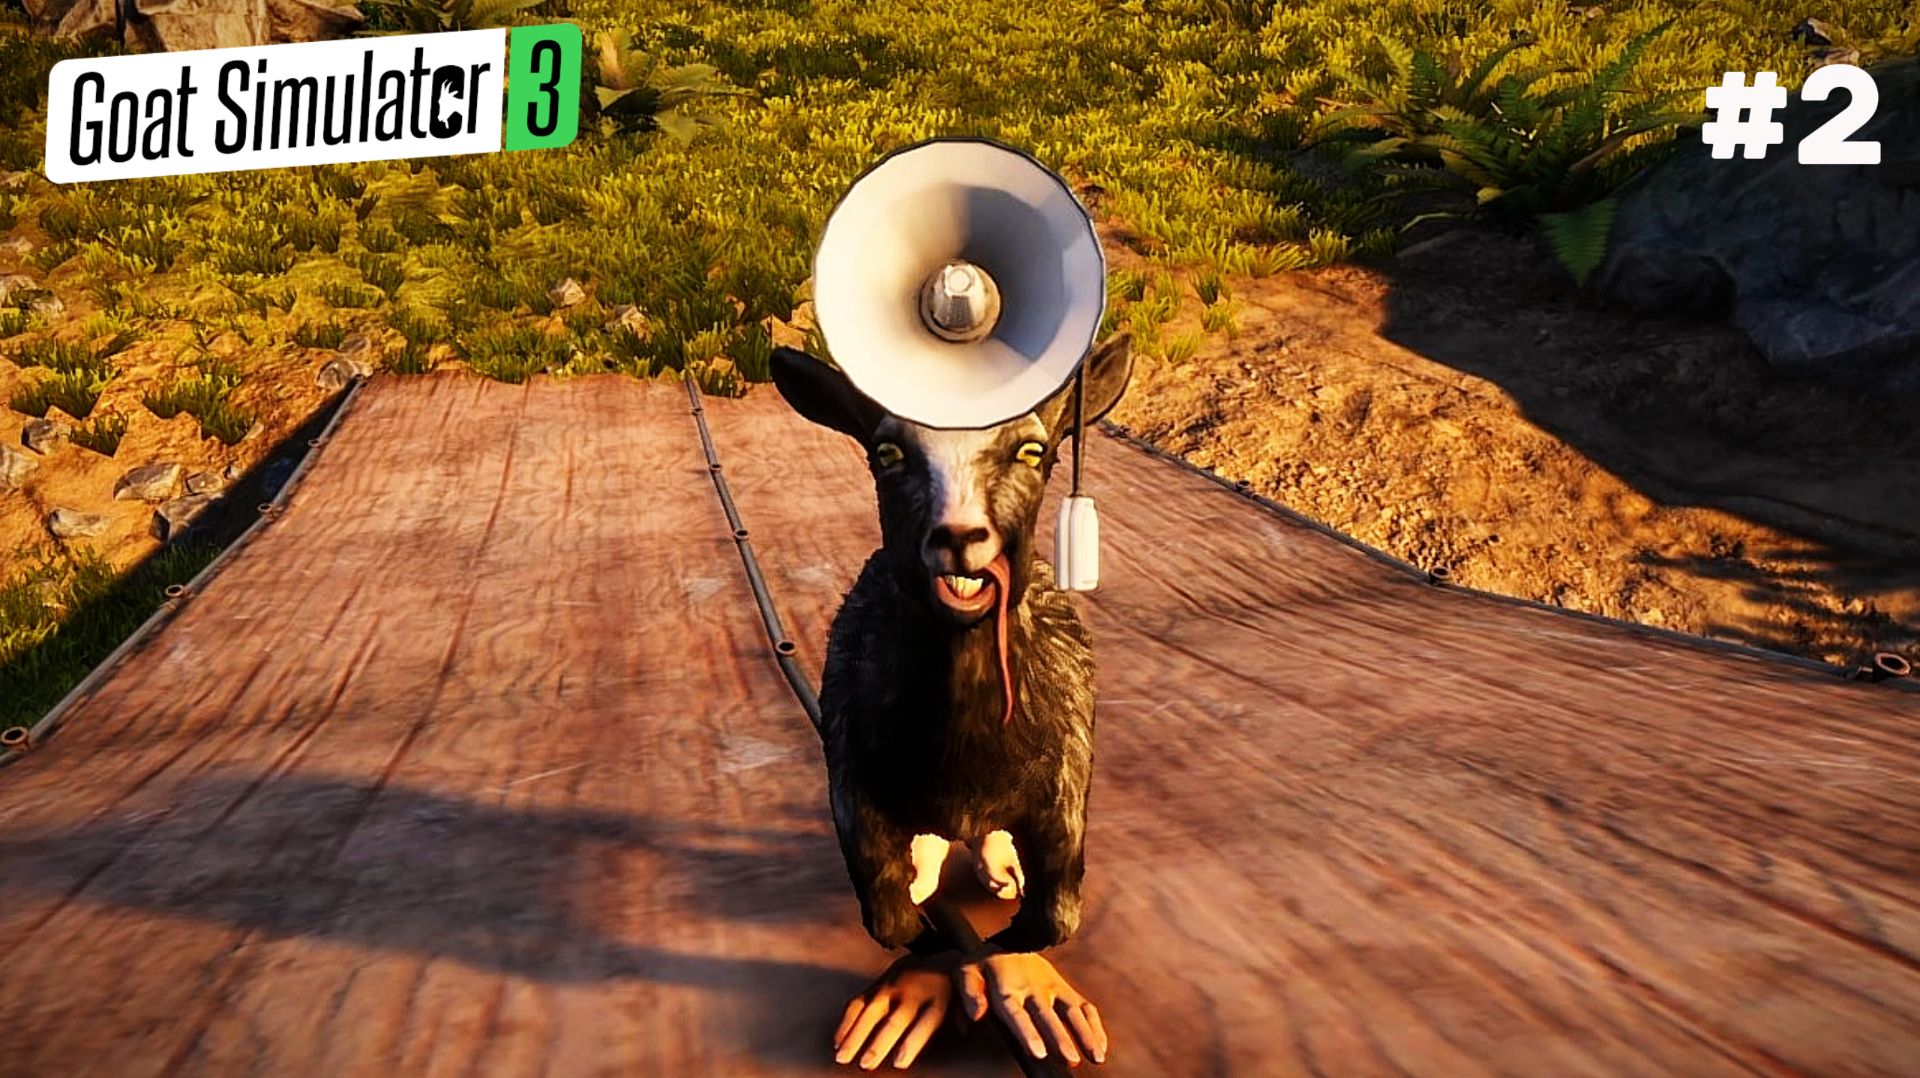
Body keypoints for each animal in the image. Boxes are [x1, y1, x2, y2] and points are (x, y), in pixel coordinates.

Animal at [770, 334, 1132, 959]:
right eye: (887, 452)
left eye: (1034, 451)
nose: (959, 537)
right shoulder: (851, 780)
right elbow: (890, 918)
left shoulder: (1065, 787)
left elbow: (1053, 918)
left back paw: (999, 867)